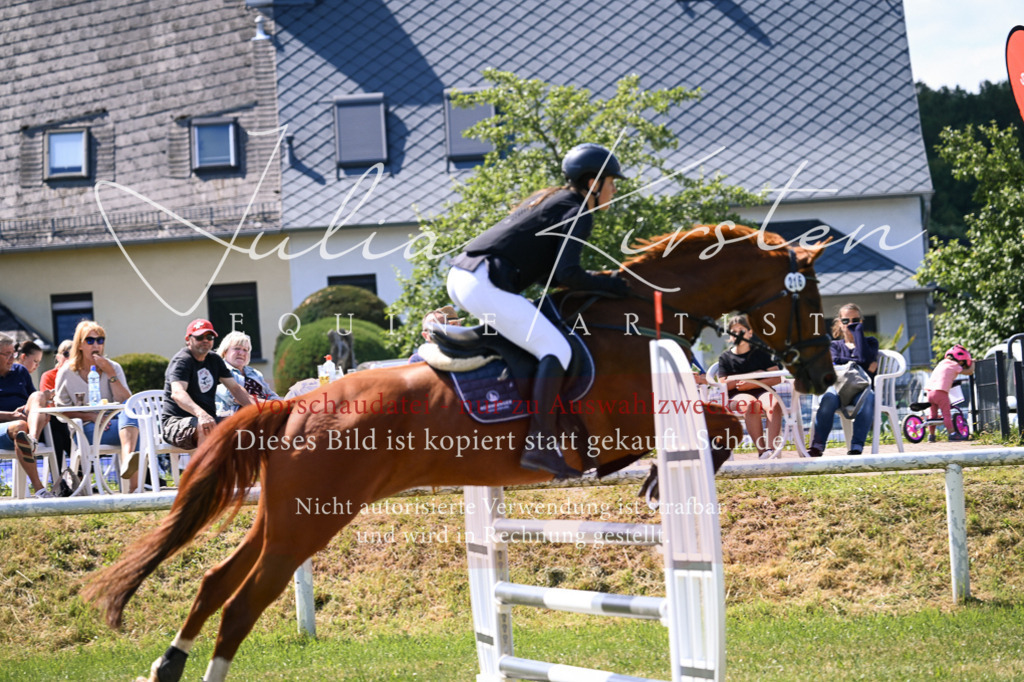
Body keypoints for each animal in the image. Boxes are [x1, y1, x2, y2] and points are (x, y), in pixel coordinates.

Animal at [83, 224, 834, 682]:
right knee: (243, 603)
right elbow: (721, 422)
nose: (821, 375)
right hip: (311, 520)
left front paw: (653, 482)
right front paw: (656, 483)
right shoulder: (628, 425)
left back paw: (168, 664)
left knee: (216, 581)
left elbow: (722, 419)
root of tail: (293, 404)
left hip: (284, 514)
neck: (630, 321)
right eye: (811, 301)